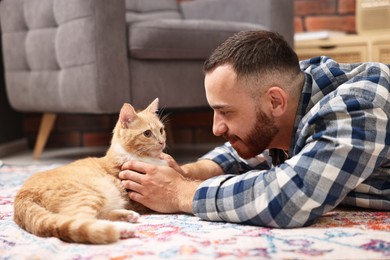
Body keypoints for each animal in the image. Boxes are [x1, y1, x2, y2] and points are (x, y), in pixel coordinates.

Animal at [13, 98, 166, 245]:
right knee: (80, 220)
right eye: (147, 133)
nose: (162, 142)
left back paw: (127, 216)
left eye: (161, 130)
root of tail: (23, 193)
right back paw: (122, 229)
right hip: (91, 194)